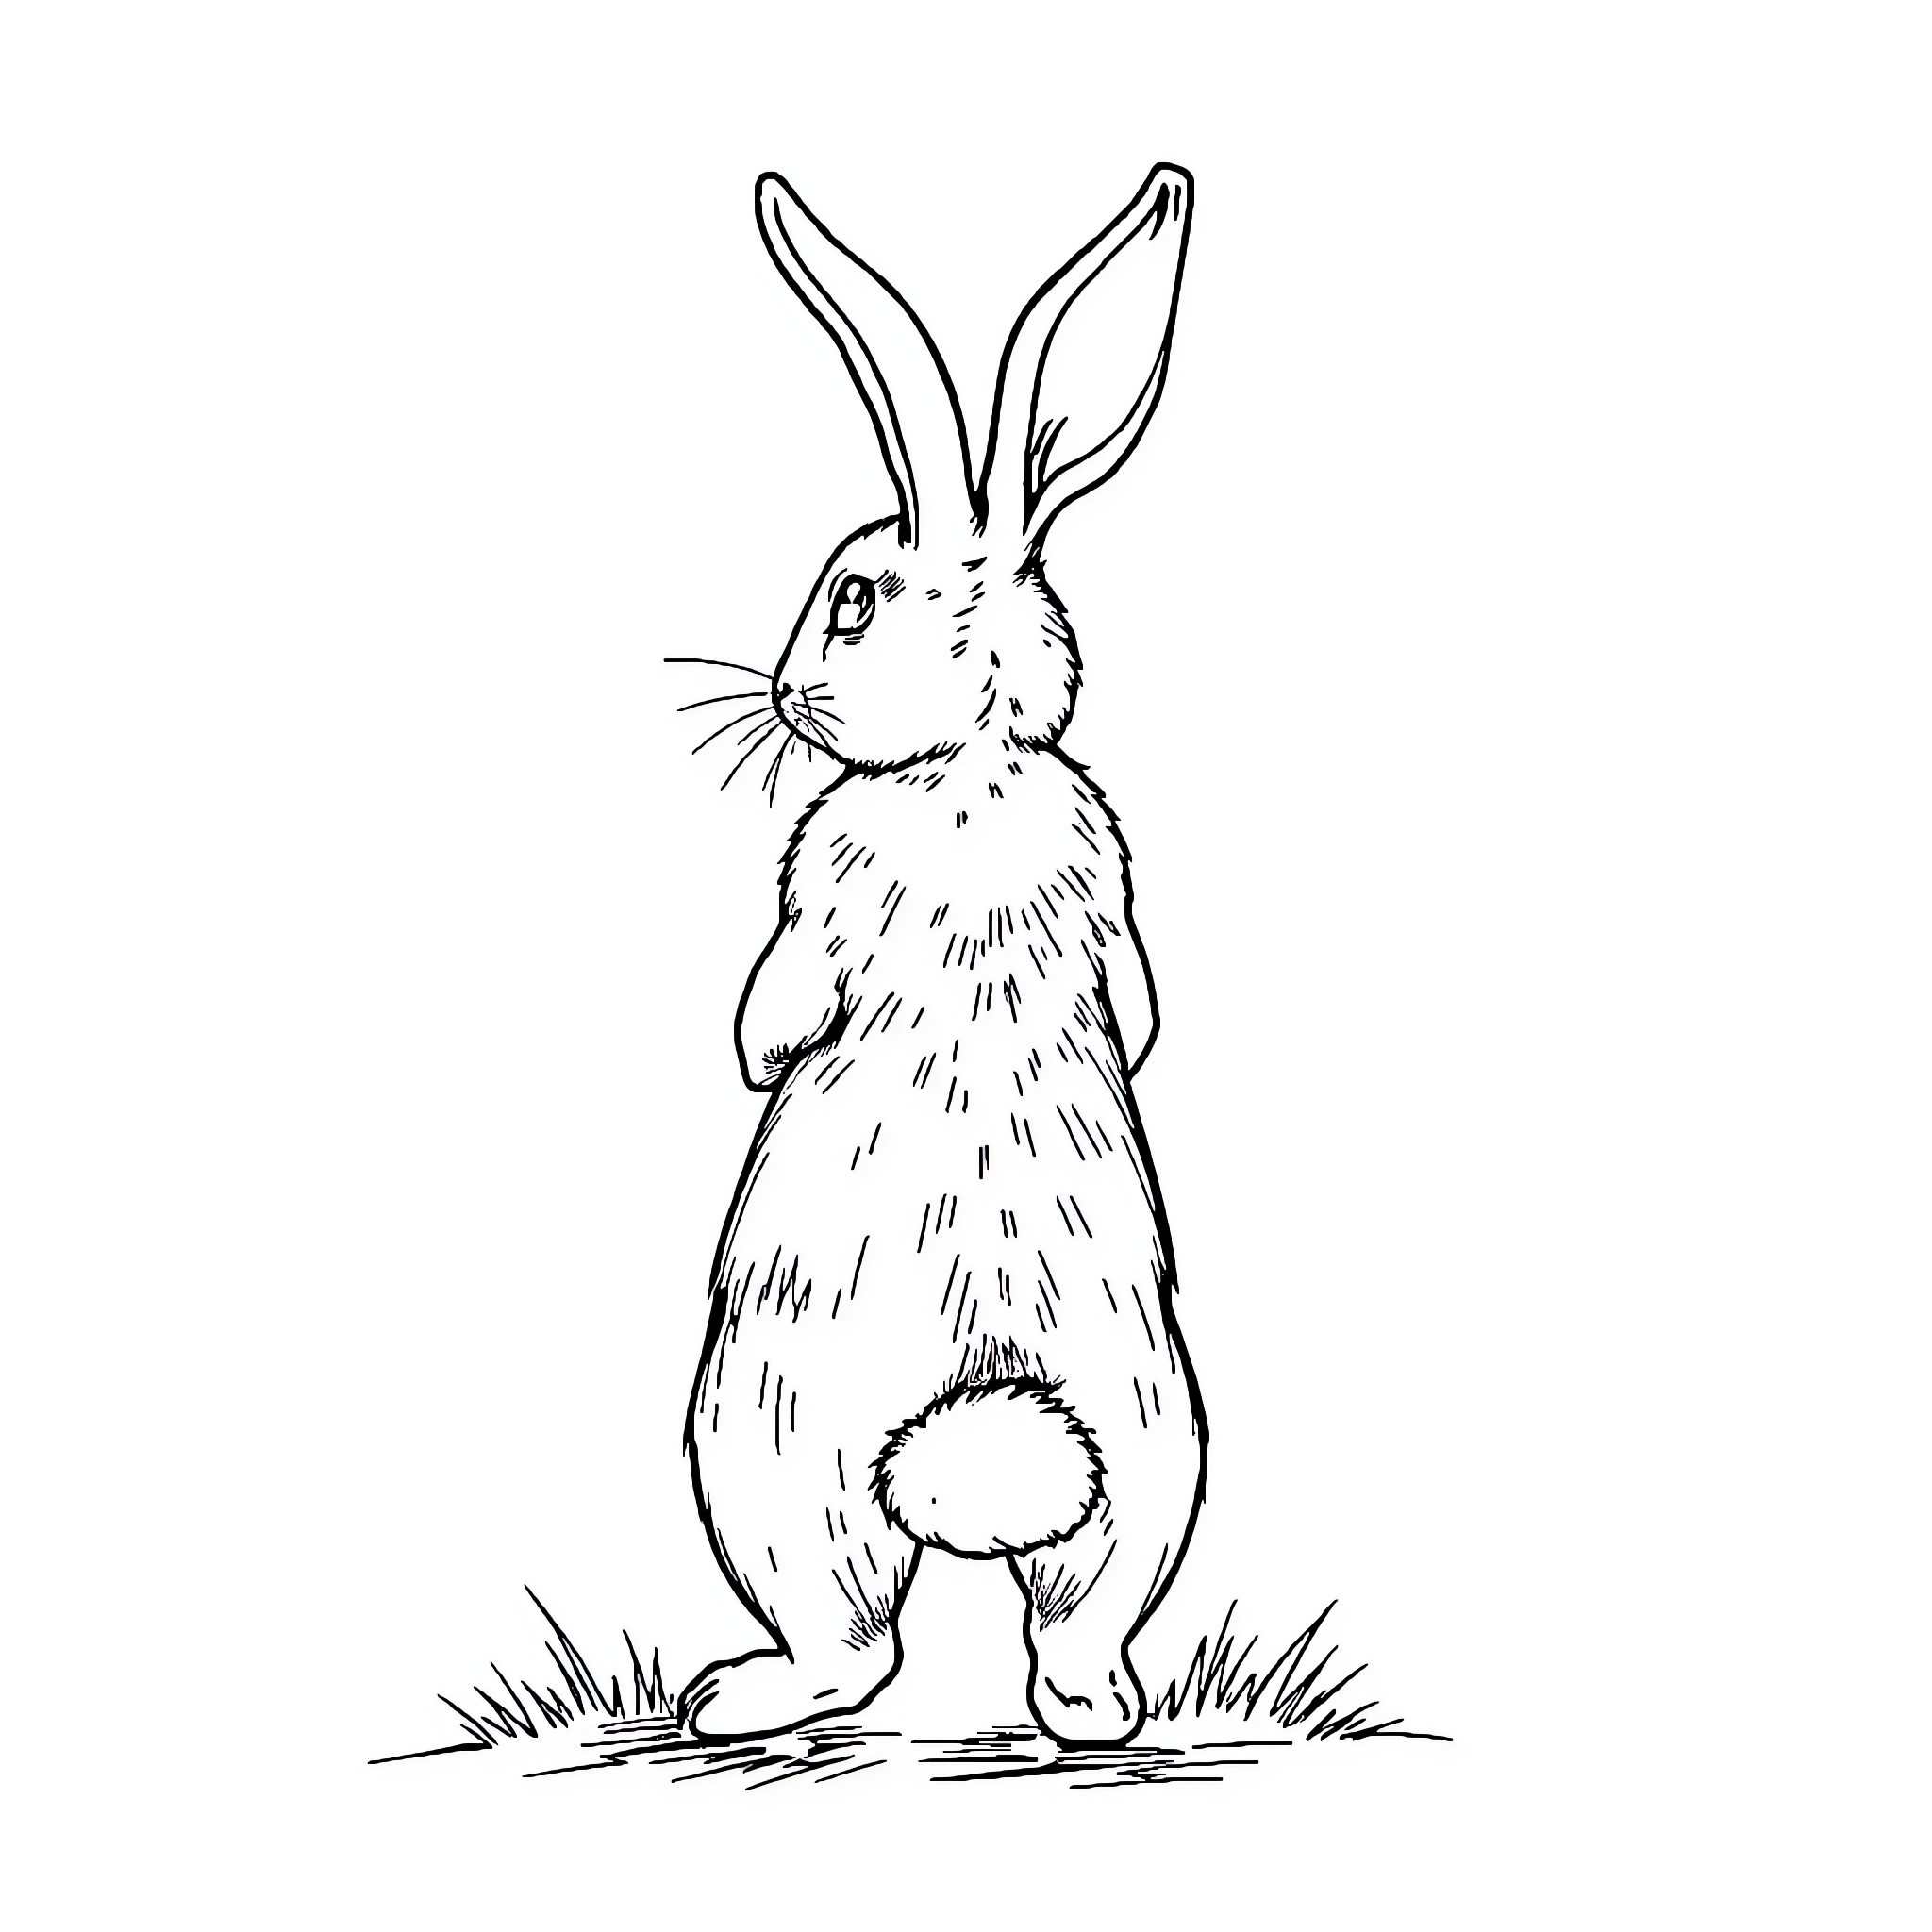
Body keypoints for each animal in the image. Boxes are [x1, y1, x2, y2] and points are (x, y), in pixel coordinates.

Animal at [680, 165, 1206, 1747]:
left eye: (851, 597)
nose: (787, 690)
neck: (965, 761)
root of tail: (971, 1439)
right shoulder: (1110, 882)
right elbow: (1135, 991)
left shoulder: (819, 892)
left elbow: (782, 997)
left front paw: (754, 1045)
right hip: (1149, 1460)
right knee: (1060, 1628)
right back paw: (1098, 1712)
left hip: (757, 1449)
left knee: (854, 1647)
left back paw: (731, 1696)